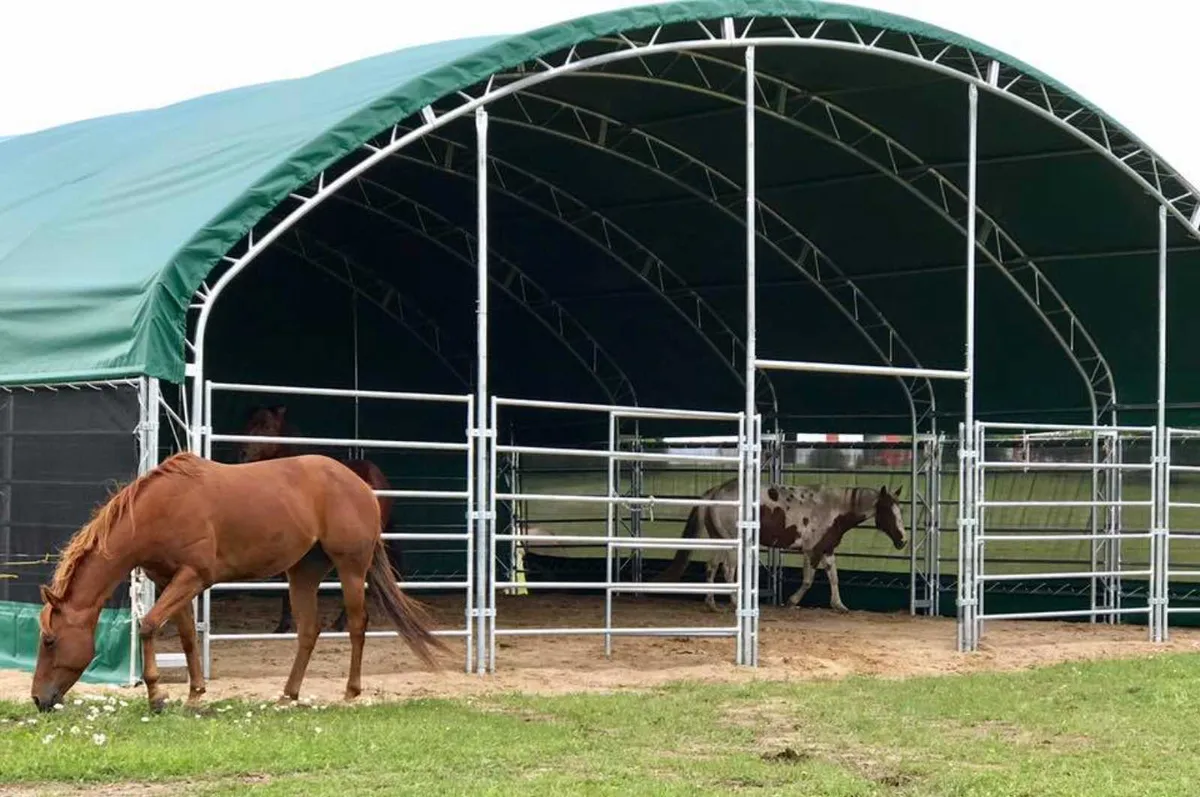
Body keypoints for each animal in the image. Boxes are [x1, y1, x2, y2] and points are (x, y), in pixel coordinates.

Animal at [31, 451, 451, 710]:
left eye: (50, 640)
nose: (38, 699)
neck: (160, 509)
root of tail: (362, 484)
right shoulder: (170, 580)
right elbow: (186, 636)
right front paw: (194, 693)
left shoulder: (193, 576)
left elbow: (148, 625)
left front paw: (158, 696)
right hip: (303, 571)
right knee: (308, 629)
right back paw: (288, 694)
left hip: (350, 566)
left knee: (358, 624)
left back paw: (350, 691)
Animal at [657, 475, 907, 612]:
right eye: (888, 512)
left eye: (900, 511)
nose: (903, 541)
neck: (834, 507)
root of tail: (715, 492)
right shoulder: (812, 551)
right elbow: (808, 580)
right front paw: (792, 601)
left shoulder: (827, 549)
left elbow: (833, 577)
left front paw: (839, 605)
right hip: (732, 544)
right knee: (728, 570)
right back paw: (735, 602)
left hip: (721, 541)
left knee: (711, 567)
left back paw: (711, 603)